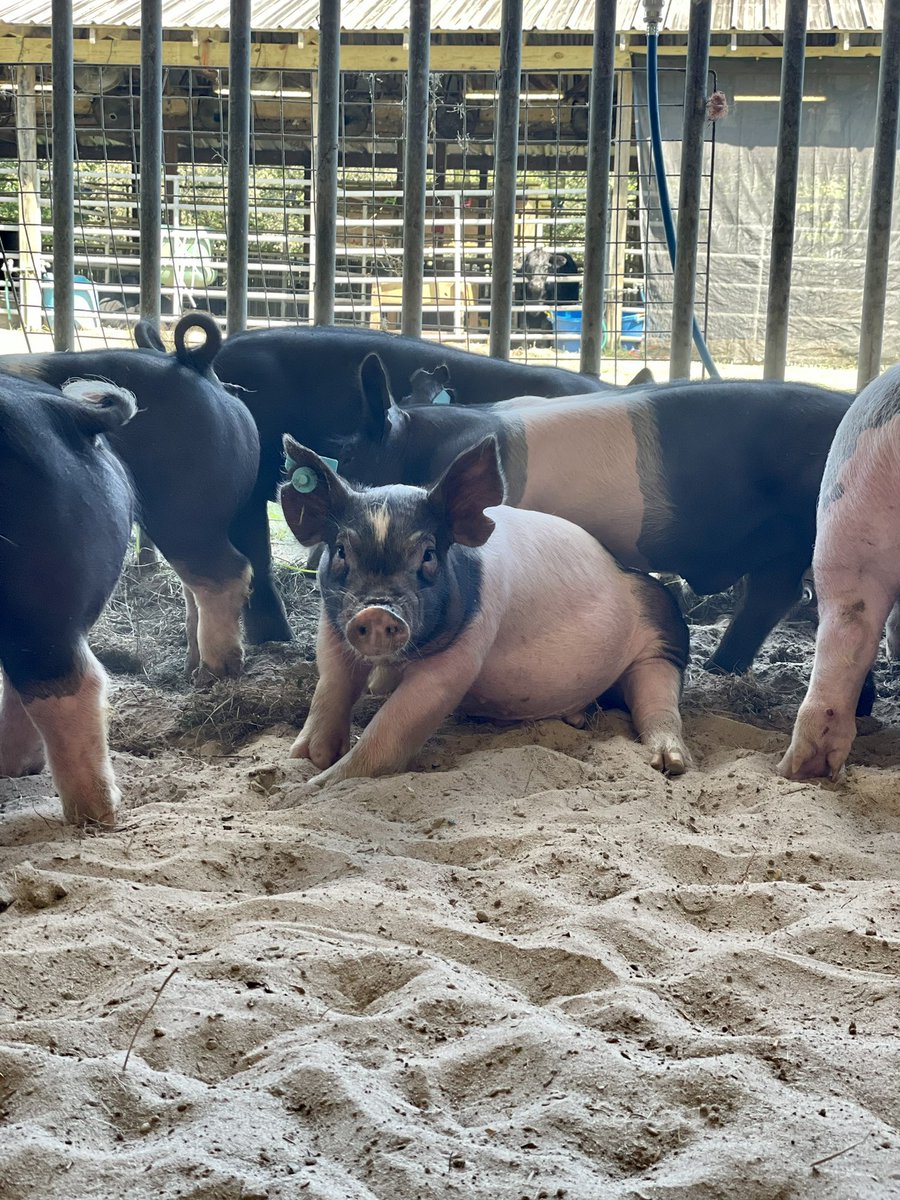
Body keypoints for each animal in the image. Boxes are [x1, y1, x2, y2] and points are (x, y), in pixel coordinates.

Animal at [0, 312, 260, 683]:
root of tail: (196, 364)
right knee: (194, 585)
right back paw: (190, 670)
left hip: (184, 513)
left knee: (226, 572)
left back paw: (212, 673)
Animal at [279, 436, 691, 787]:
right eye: (342, 551)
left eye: (428, 555)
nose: (376, 612)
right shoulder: (331, 626)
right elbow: (332, 684)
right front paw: (305, 757)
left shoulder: (466, 647)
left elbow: (397, 721)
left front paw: (311, 788)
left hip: (664, 634)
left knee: (657, 694)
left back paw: (670, 764)